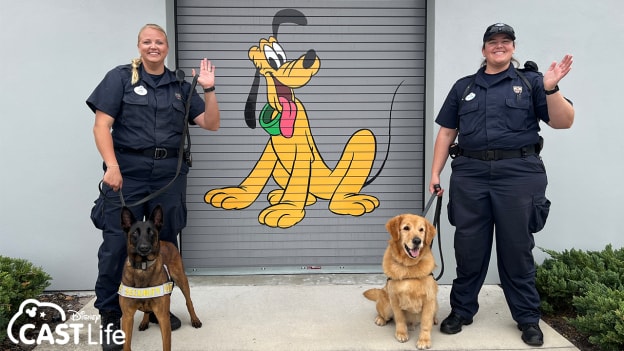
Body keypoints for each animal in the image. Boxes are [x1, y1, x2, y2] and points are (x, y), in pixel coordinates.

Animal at [120, 206, 202, 351]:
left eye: (151, 232)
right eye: (134, 233)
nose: (144, 248)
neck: (143, 268)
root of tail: (164, 241)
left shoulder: (163, 318)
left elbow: (166, 345)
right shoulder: (127, 317)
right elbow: (127, 345)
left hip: (181, 280)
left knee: (189, 302)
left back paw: (195, 319)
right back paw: (145, 321)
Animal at [360, 214, 438, 350]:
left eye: (421, 230)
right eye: (406, 228)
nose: (417, 241)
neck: (409, 267)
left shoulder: (429, 300)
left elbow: (425, 324)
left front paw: (424, 340)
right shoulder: (394, 299)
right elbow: (400, 319)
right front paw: (401, 333)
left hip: (436, 304)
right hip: (386, 305)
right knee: (383, 313)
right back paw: (380, 319)